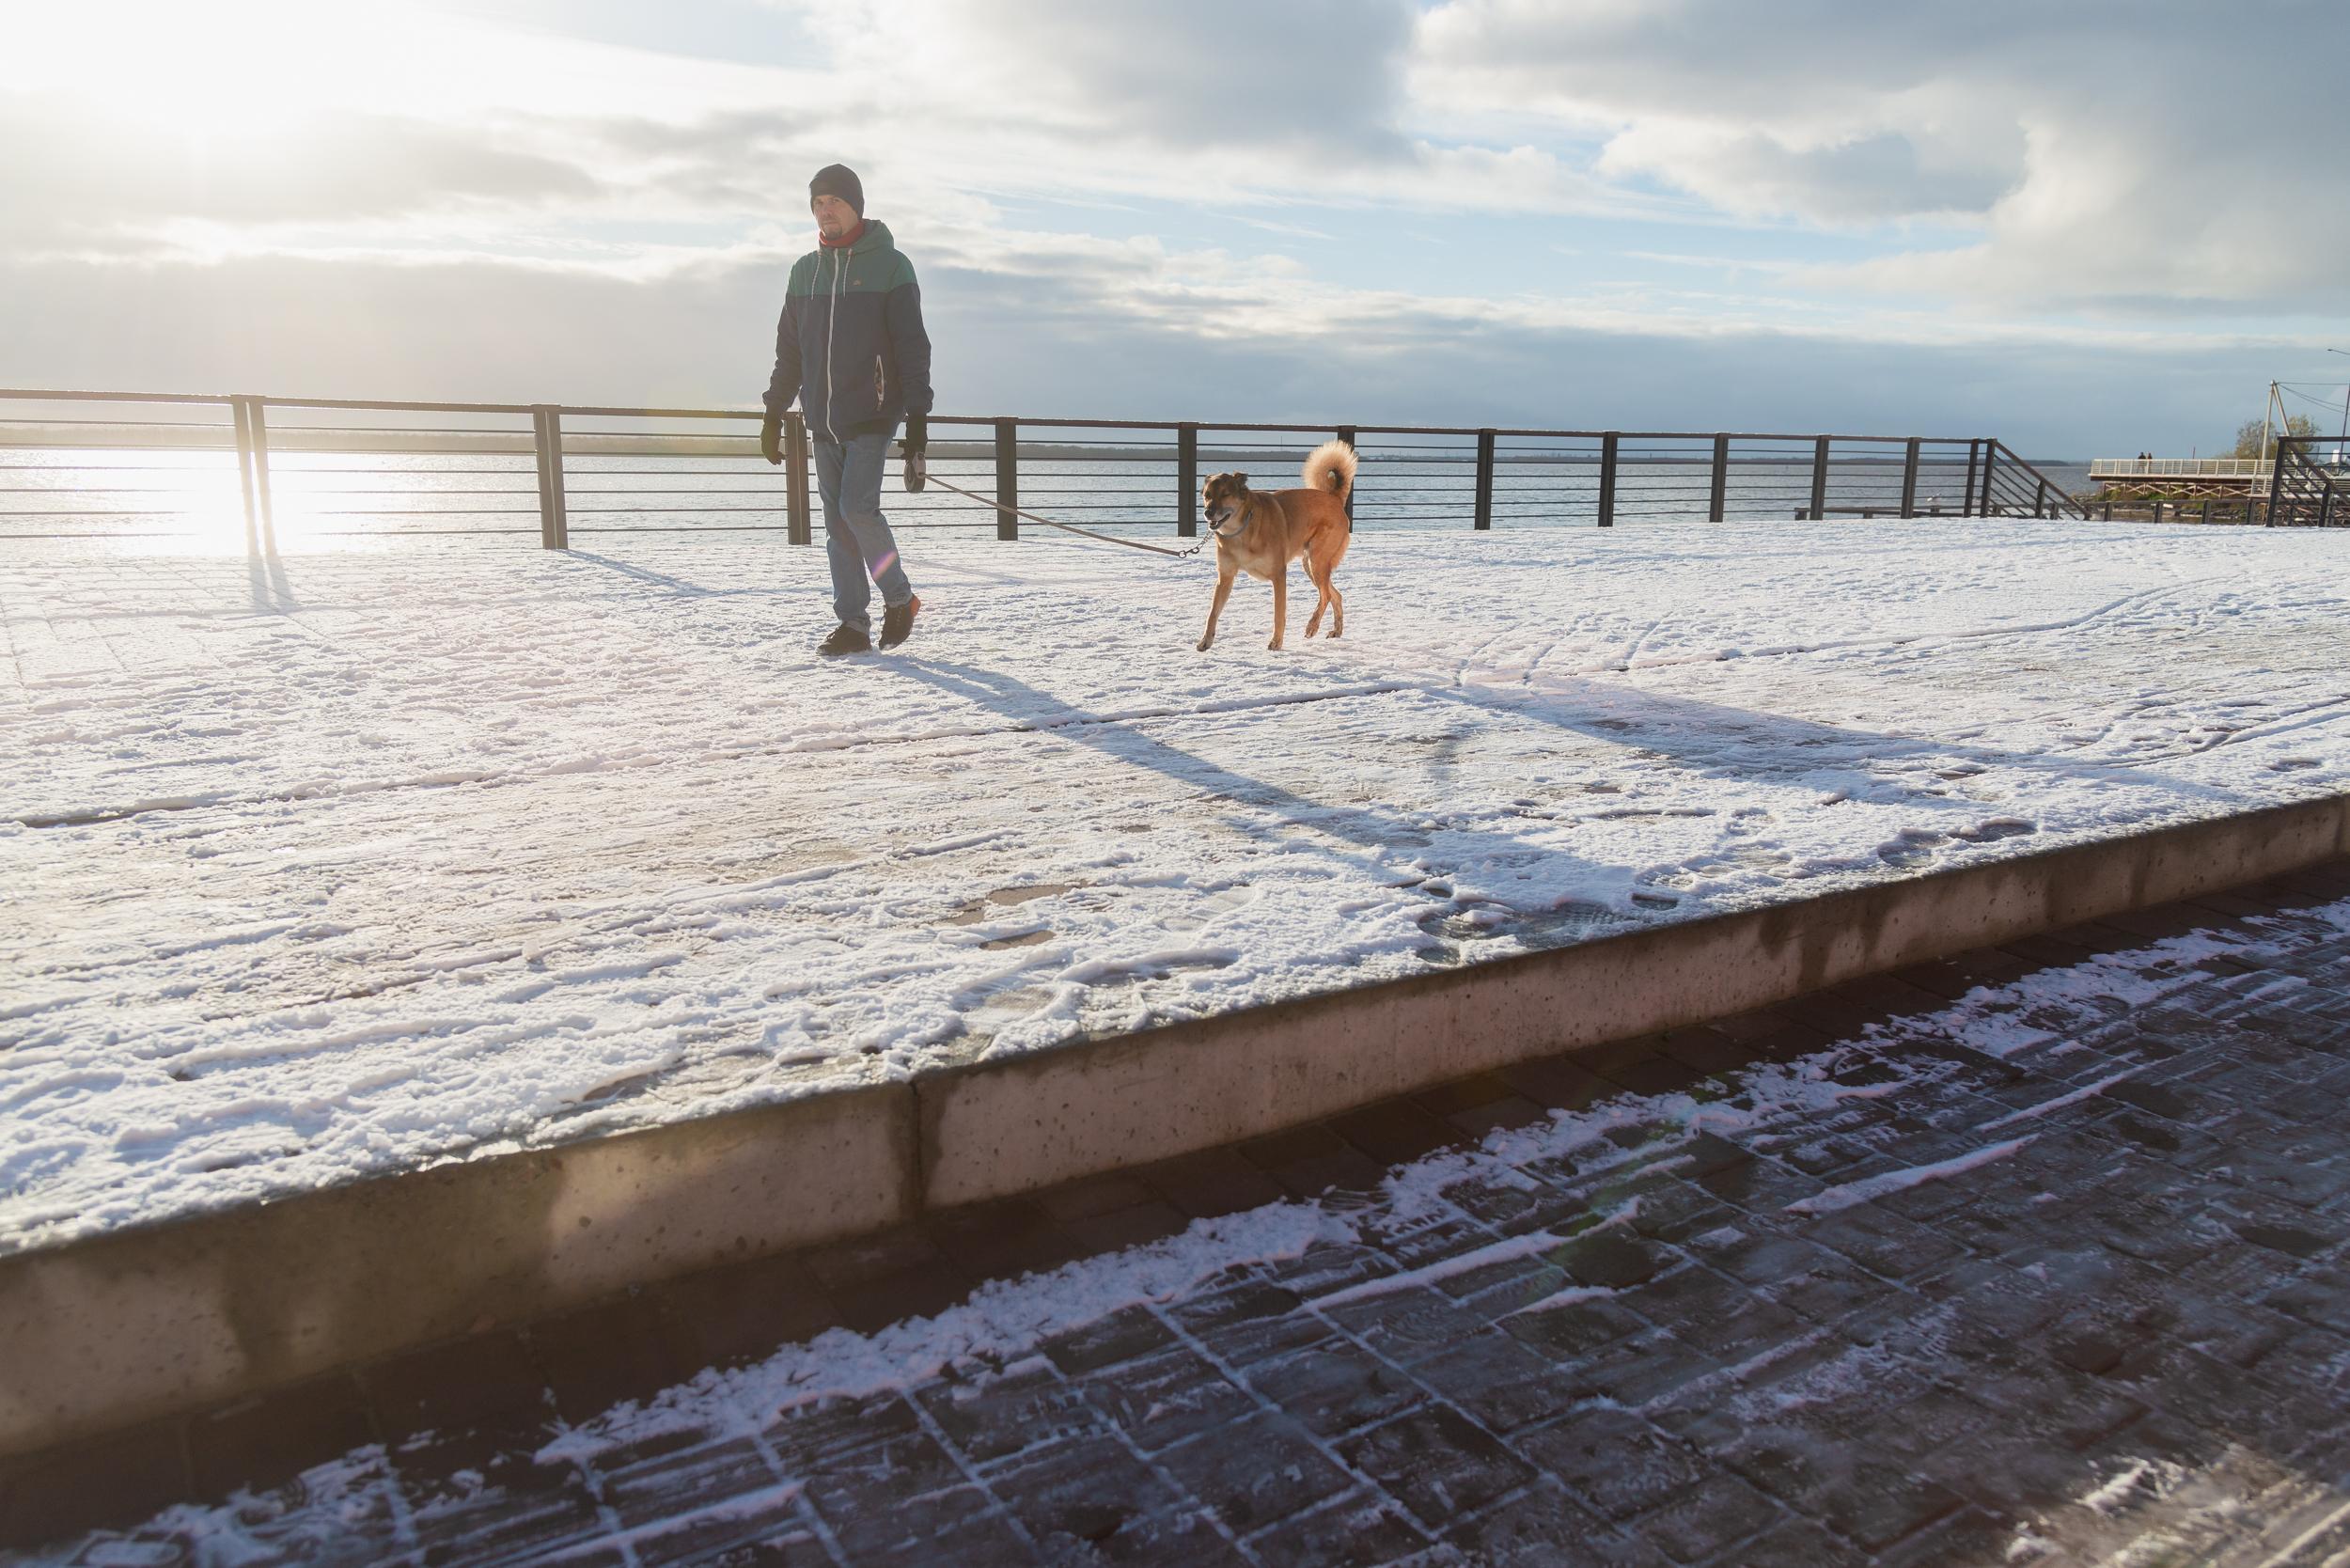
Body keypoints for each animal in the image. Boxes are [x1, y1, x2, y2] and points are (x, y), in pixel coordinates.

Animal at [1194, 442, 1363, 658]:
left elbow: (1278, 613)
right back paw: (1337, 630)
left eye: (1225, 494)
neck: (1242, 530)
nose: (1208, 512)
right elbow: (1212, 613)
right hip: (1312, 565)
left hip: (1317, 561)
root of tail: (1333, 498)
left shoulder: (1278, 575)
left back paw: (1312, 626)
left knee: (1325, 595)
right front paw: (1206, 641)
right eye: (1206, 495)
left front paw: (1276, 642)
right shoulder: (1225, 578)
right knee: (1335, 594)